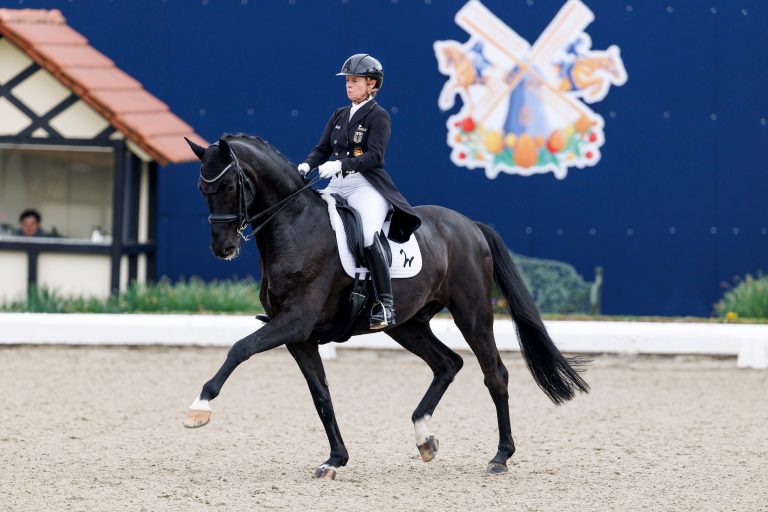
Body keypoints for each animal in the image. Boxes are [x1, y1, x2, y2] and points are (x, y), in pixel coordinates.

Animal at [182, 134, 589, 479]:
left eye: (229, 187)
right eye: (202, 190)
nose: (223, 249)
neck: (295, 226)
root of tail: (470, 226)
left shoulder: (294, 322)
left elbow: (240, 348)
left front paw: (199, 406)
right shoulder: (300, 337)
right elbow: (321, 396)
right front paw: (335, 459)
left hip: (471, 314)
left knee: (495, 375)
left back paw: (500, 457)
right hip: (406, 324)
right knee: (447, 364)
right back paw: (425, 438)